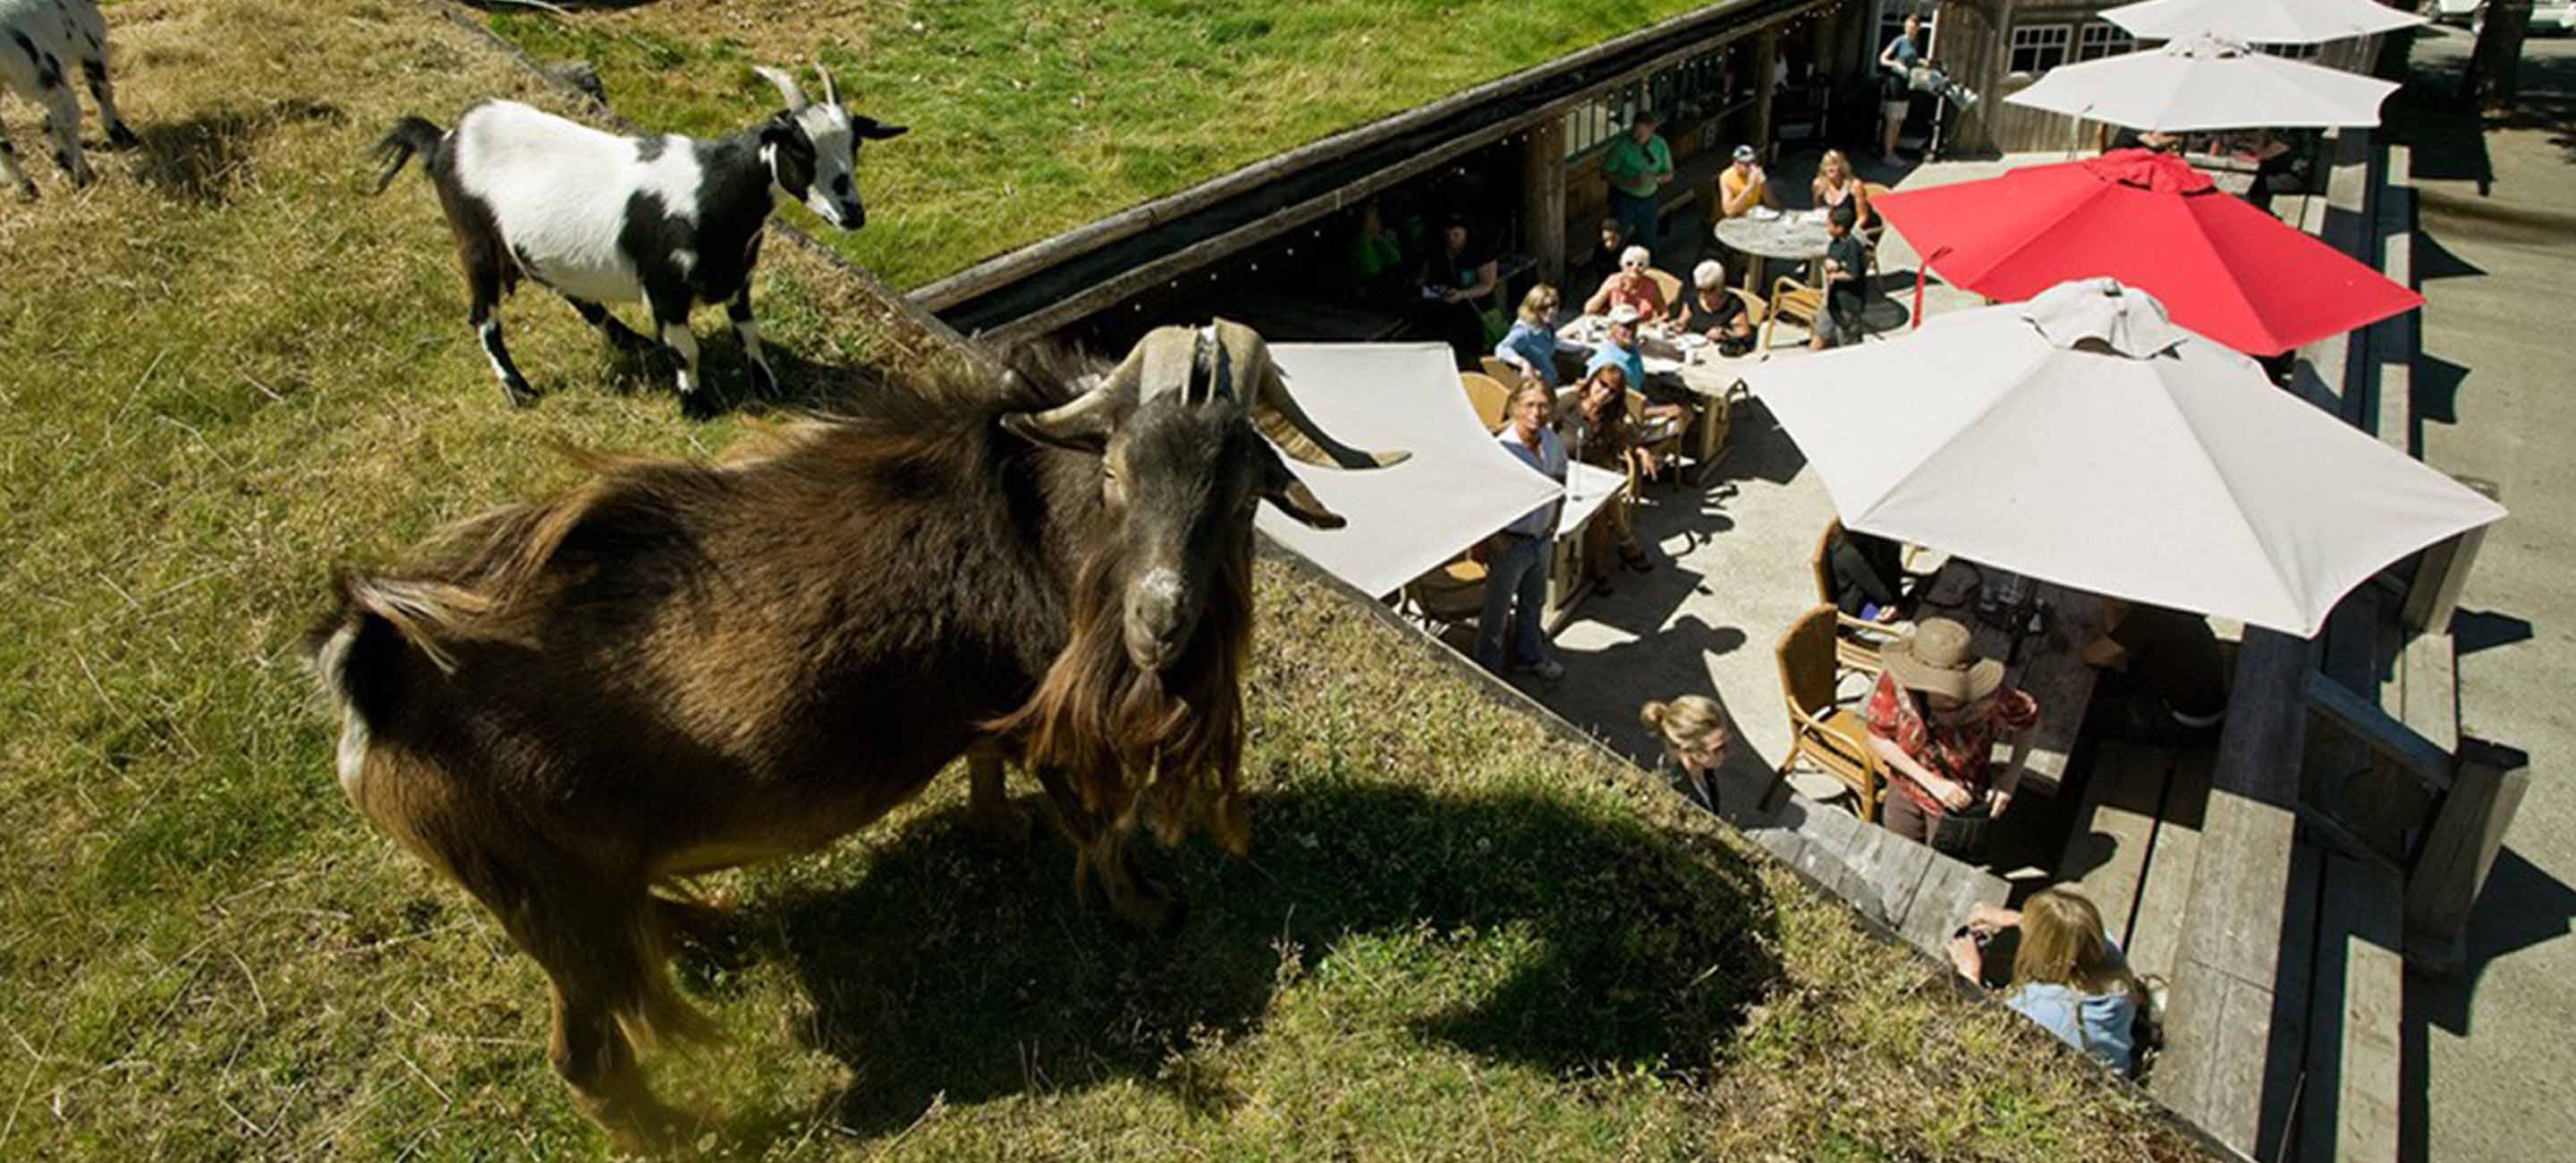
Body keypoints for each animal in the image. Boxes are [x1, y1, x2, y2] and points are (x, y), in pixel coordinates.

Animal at [1, 0, 139, 199]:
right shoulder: (92, 43)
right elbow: (102, 91)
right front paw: (123, 137)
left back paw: (28, 191)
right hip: (46, 69)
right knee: (66, 122)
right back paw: (82, 176)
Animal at [306, 318, 1411, 1144]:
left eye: (1241, 492)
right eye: (1118, 474)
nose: (1158, 626)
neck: (1039, 520)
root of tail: (373, 678)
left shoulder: (990, 697)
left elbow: (986, 758)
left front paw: (997, 830)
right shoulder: (1049, 710)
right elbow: (1095, 822)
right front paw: (1147, 907)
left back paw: (709, 925)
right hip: (550, 899)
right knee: (584, 1054)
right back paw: (677, 1131)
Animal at [370, 65, 906, 417]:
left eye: (854, 144)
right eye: (799, 148)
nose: (852, 213)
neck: (711, 190)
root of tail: (444, 140)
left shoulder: (739, 276)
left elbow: (748, 331)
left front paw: (767, 384)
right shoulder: (664, 288)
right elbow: (687, 349)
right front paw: (696, 406)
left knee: (565, 287)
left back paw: (627, 339)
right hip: (476, 241)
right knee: (483, 318)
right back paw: (518, 389)